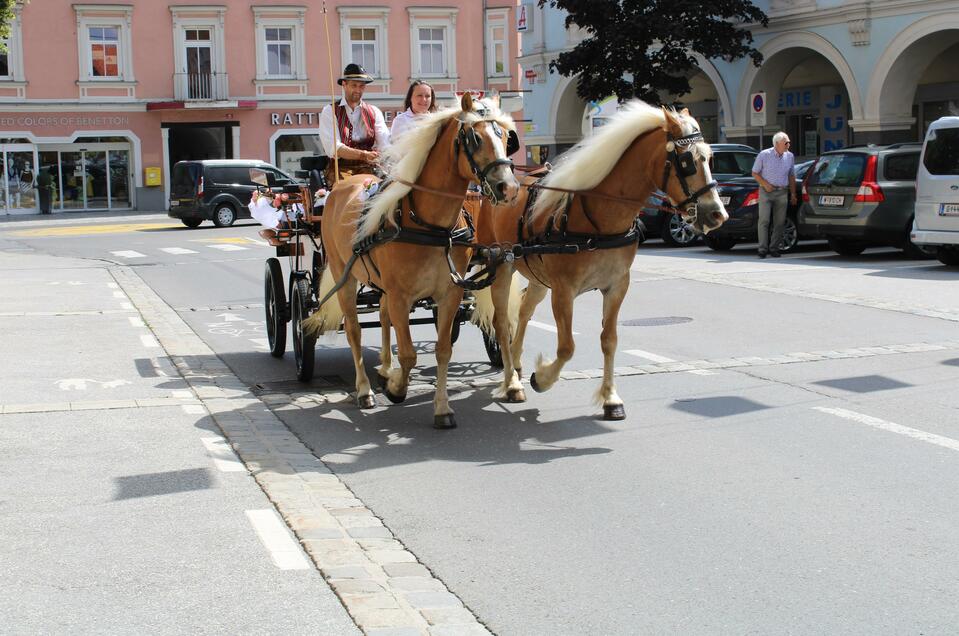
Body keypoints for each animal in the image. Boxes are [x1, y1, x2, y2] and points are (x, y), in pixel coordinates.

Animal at [304, 93, 520, 428]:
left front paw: (442, 408)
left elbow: (443, 350)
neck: (430, 226)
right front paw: (396, 388)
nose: (508, 188)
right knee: (354, 330)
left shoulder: (449, 293)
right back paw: (365, 389)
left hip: (381, 284)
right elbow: (408, 354)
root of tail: (341, 186)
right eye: (474, 138)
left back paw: (383, 368)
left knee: (382, 316)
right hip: (345, 276)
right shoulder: (401, 296)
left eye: (507, 138)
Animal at [476, 103, 732, 422]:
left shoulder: (617, 286)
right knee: (501, 322)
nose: (717, 214)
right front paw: (543, 377)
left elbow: (609, 340)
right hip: (501, 265)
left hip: (538, 278)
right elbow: (567, 347)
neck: (597, 217)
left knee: (523, 311)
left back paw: (517, 359)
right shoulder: (564, 291)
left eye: (709, 157)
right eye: (686, 161)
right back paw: (511, 381)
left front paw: (610, 398)